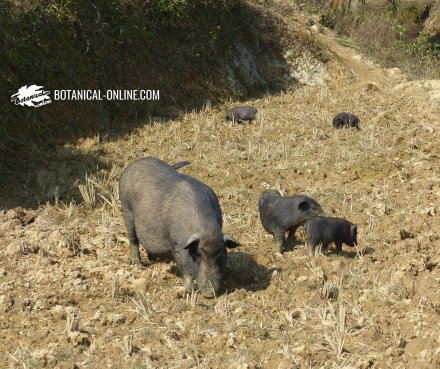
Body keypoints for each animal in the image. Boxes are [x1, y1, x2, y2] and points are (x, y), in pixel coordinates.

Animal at [118, 155, 239, 296]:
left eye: (221, 255)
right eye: (198, 255)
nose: (210, 293)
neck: (206, 229)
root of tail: (132, 166)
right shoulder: (176, 243)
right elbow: (184, 268)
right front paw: (189, 291)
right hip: (127, 210)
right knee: (133, 239)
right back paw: (137, 263)